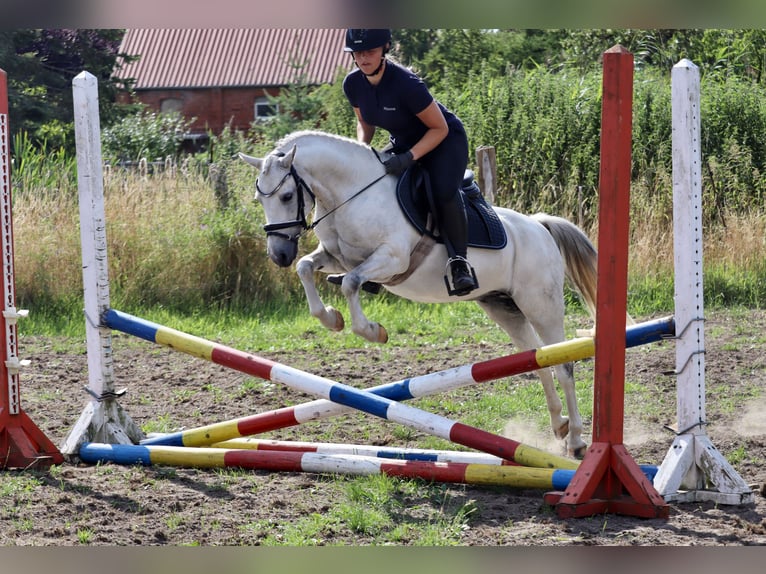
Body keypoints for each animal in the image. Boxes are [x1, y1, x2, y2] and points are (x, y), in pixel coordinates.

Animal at [243, 130, 604, 460]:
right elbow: (306, 267)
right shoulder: (334, 257)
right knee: (539, 361)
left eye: (287, 196)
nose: (278, 255)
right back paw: (558, 425)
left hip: (541, 304)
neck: (351, 193)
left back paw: (575, 440)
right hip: (503, 307)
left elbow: (351, 284)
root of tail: (540, 226)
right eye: (259, 200)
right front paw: (331, 319)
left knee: (563, 366)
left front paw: (373, 331)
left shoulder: (390, 259)